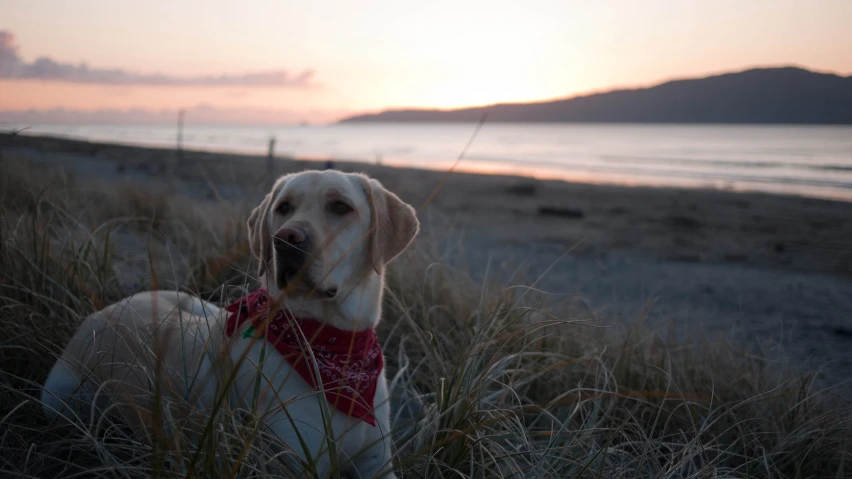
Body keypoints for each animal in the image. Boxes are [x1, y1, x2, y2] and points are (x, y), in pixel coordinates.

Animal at [40, 171, 420, 478]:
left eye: (341, 207)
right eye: (283, 207)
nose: (286, 238)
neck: (331, 344)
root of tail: (101, 312)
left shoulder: (379, 465)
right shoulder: (290, 461)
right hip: (60, 399)